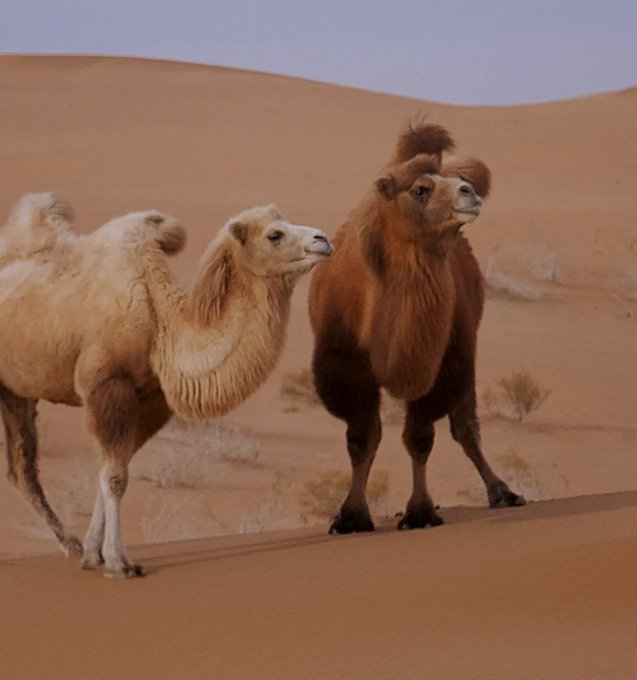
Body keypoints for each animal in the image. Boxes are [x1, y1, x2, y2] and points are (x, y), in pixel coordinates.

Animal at [0, 193, 332, 576]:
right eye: (275, 235)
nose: (323, 240)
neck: (160, 322)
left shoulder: (151, 399)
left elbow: (112, 469)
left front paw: (93, 554)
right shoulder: (108, 385)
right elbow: (114, 477)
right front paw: (118, 562)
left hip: (16, 391)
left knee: (21, 470)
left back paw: (71, 545)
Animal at [309, 122, 525, 534]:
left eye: (454, 181)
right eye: (420, 189)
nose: (469, 192)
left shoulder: (440, 361)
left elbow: (420, 438)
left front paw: (420, 512)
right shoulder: (346, 365)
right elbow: (362, 439)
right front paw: (351, 516)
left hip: (464, 351)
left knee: (466, 427)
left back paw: (503, 492)